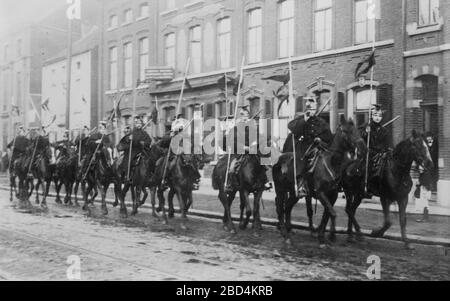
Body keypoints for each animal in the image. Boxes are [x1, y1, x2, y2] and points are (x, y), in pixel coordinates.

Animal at [272, 118, 360, 247]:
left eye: (355, 130)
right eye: (346, 131)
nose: (360, 146)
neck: (331, 163)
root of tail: (278, 159)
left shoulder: (332, 195)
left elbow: (327, 214)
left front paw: (322, 237)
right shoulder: (320, 193)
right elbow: (332, 213)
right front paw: (329, 236)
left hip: (294, 193)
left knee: (287, 207)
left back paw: (288, 231)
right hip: (280, 190)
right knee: (280, 208)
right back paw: (285, 234)